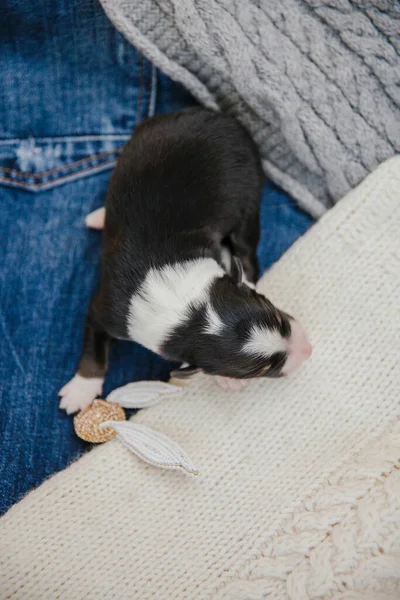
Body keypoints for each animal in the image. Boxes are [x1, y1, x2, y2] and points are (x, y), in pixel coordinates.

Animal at [59, 108, 310, 414]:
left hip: (248, 196)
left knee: (247, 250)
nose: (308, 348)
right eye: (260, 370)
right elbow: (93, 347)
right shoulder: (107, 310)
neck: (187, 308)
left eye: (277, 315)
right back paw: (100, 216)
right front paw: (80, 389)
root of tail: (220, 117)